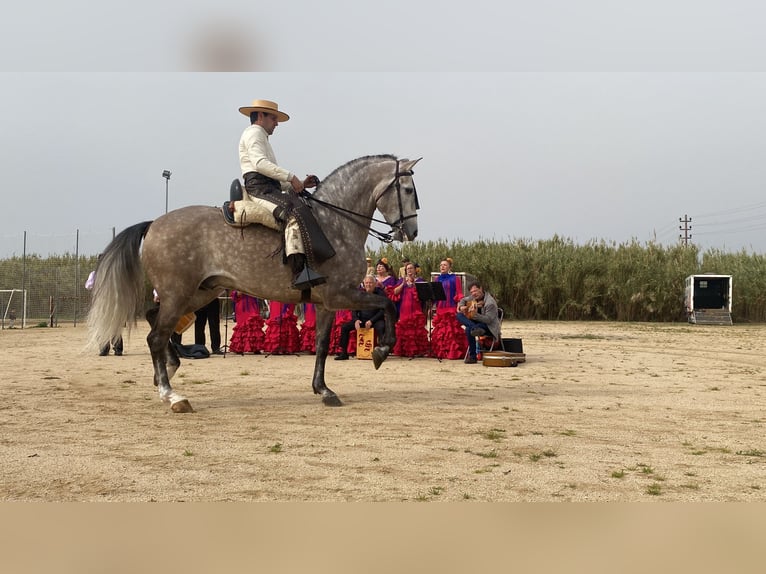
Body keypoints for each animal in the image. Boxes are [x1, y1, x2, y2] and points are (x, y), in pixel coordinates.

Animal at [88, 155, 424, 412]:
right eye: (408, 190)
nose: (412, 232)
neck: (336, 223)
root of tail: (154, 224)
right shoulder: (342, 295)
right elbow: (388, 304)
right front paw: (381, 350)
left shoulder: (327, 303)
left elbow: (321, 345)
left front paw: (323, 389)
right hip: (179, 294)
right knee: (156, 336)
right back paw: (172, 395)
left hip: (198, 293)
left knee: (152, 319)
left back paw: (167, 371)